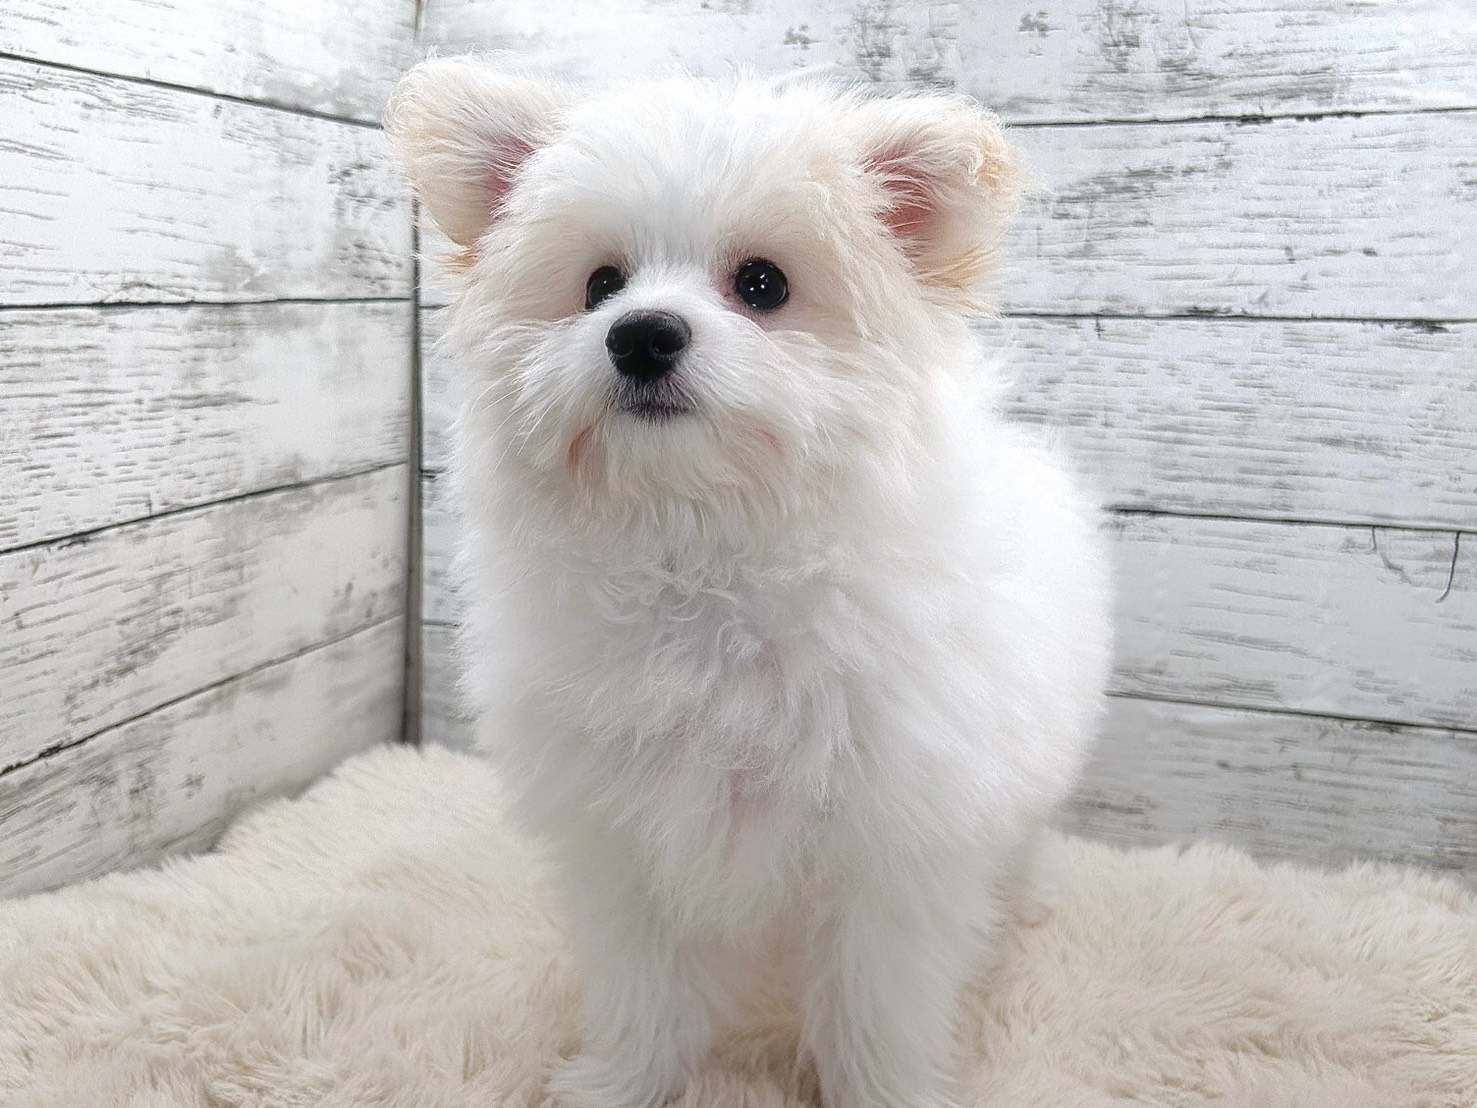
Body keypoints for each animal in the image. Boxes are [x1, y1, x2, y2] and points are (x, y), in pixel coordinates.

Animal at [386, 58, 1112, 1108]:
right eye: (601, 283)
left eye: (762, 284)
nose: (641, 334)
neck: (711, 564)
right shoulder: (629, 847)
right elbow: (646, 989)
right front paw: (625, 1083)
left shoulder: (892, 855)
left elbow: (875, 1009)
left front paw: (882, 1093)